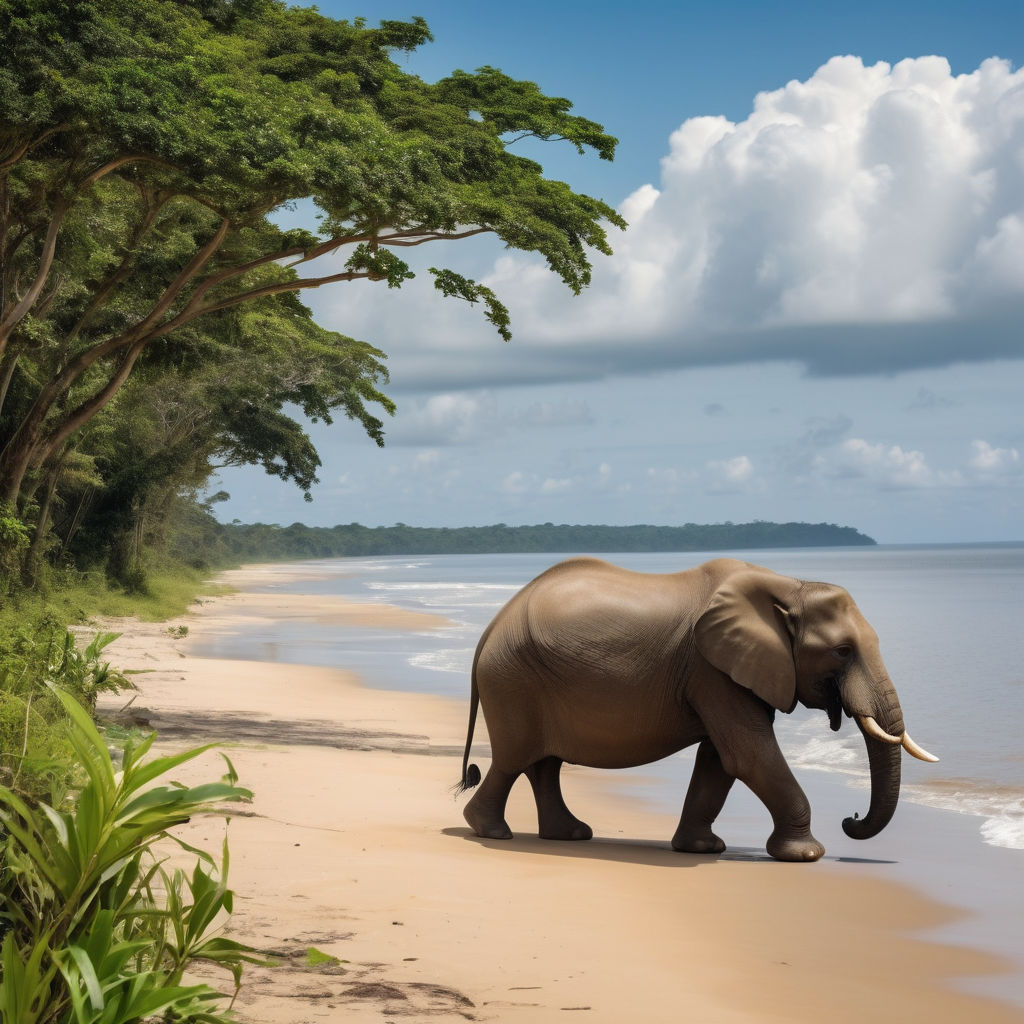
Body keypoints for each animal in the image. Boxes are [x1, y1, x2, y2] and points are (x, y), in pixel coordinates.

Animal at [455, 556, 937, 862]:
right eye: (842, 651)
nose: (850, 819)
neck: (789, 585)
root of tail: (491, 627)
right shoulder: (712, 668)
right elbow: (748, 754)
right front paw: (807, 855)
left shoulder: (725, 672)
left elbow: (720, 760)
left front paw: (703, 849)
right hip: (513, 680)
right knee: (514, 760)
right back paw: (491, 831)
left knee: (544, 764)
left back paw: (570, 835)